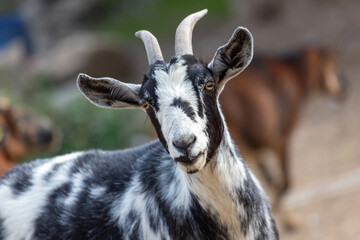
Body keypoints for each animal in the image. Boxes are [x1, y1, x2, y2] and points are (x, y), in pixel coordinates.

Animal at [221, 47, 348, 208]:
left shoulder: (254, 150)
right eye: (332, 66)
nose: (345, 85)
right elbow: (285, 183)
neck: (294, 74)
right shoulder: (281, 139)